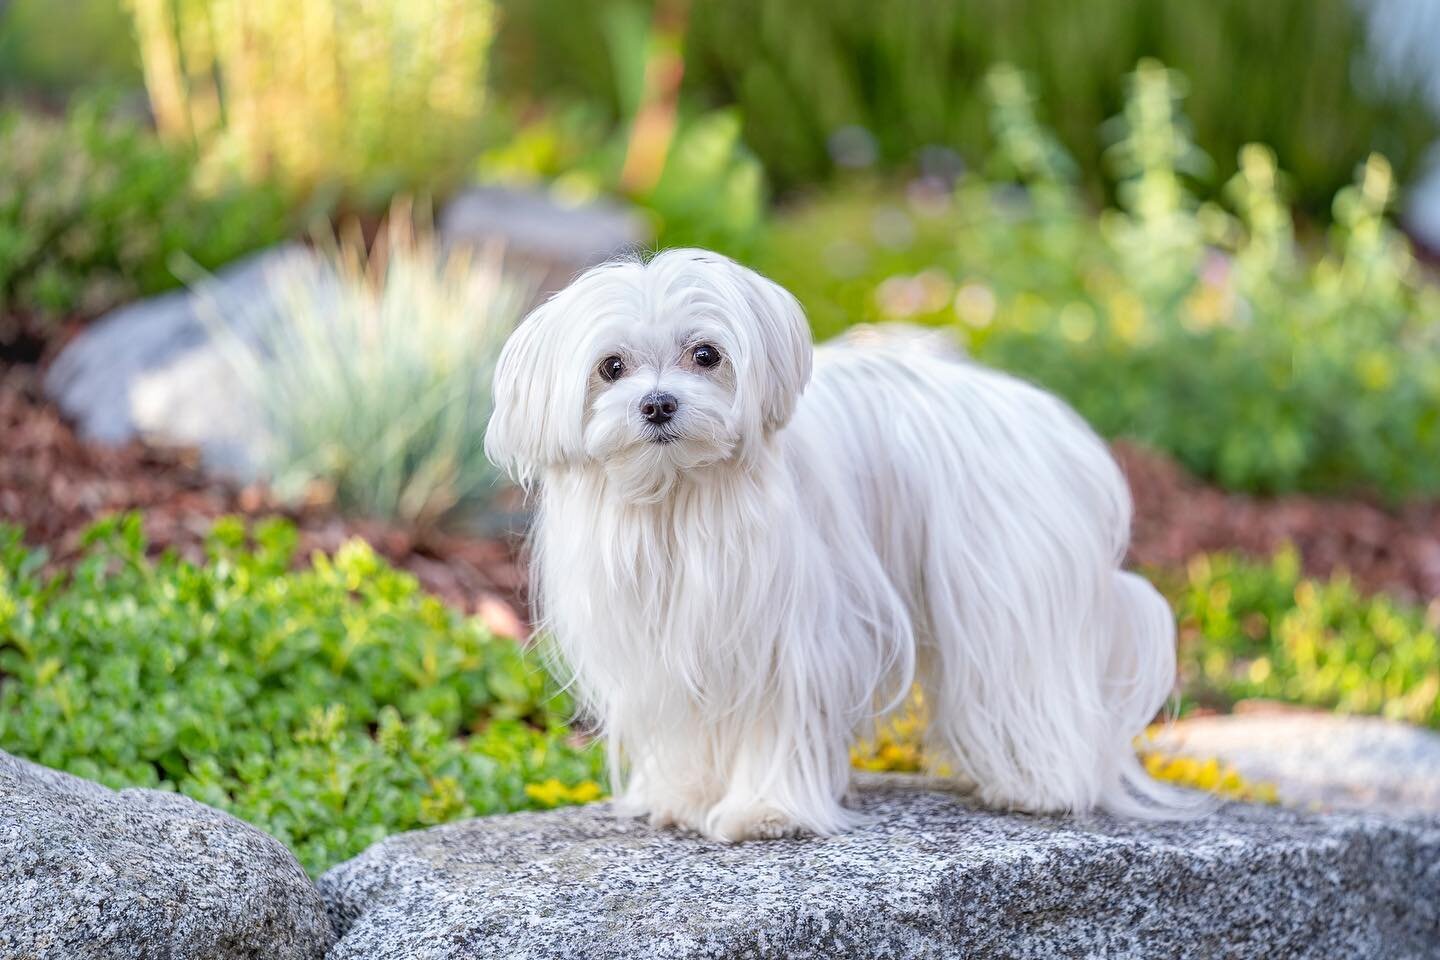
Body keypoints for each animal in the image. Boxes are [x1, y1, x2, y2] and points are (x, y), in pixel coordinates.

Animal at [489, 247, 1186, 840]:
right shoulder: (670, 641)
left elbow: (776, 721)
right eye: (611, 367)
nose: (658, 404)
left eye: (706, 355)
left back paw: (1037, 785)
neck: (680, 498)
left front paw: (765, 811)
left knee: (1029, 683)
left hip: (1009, 595)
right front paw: (686, 797)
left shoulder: (785, 638)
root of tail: (1058, 428)